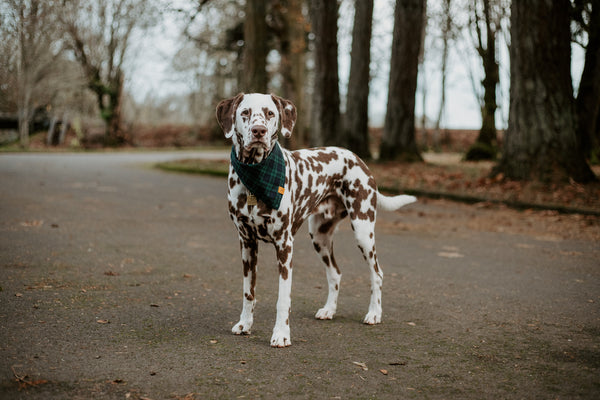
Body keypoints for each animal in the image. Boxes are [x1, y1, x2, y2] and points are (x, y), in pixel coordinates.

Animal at [216, 92, 418, 346]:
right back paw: (329, 310)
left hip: (363, 231)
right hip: (319, 237)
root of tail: (358, 159)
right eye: (245, 113)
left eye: (270, 113)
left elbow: (283, 298)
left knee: (377, 274)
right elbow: (248, 291)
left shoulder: (284, 246)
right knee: (335, 273)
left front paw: (281, 334)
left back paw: (374, 313)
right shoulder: (246, 244)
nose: (259, 131)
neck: (257, 174)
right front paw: (245, 324)